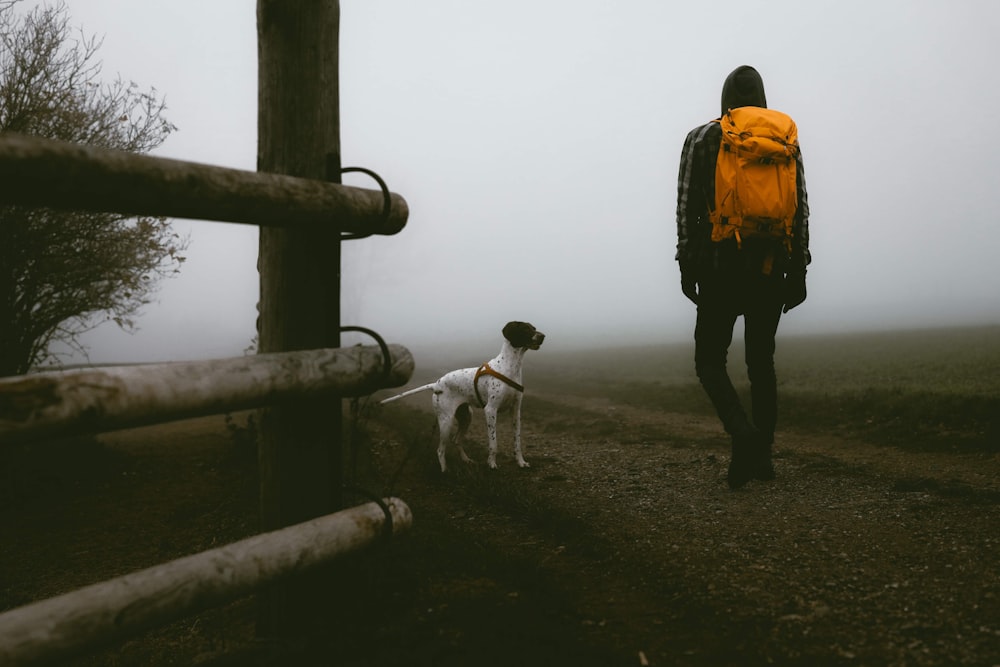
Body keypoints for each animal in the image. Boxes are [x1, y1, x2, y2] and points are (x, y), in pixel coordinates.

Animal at [376, 320, 548, 472]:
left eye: (534, 328)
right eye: (525, 329)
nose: (543, 336)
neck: (510, 368)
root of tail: (436, 384)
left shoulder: (515, 411)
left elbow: (517, 442)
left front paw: (521, 462)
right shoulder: (490, 410)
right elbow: (494, 443)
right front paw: (491, 464)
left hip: (466, 416)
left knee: (456, 440)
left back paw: (466, 460)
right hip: (446, 421)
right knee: (440, 449)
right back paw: (445, 471)